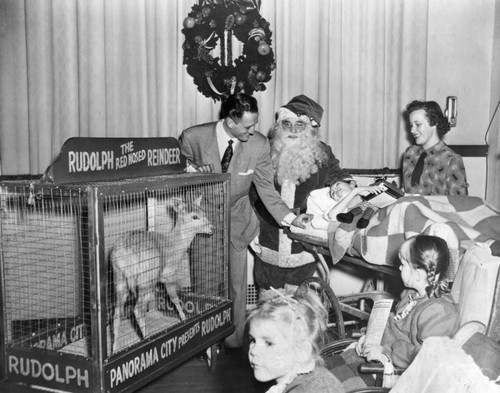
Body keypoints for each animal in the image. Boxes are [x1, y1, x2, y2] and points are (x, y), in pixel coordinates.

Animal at [111, 194, 213, 350]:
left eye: (204, 212)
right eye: (194, 216)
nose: (212, 228)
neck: (174, 247)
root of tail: (124, 254)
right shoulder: (170, 275)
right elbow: (175, 299)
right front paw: (184, 320)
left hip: (119, 278)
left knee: (117, 312)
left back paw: (113, 349)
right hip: (146, 278)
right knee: (138, 309)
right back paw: (146, 338)